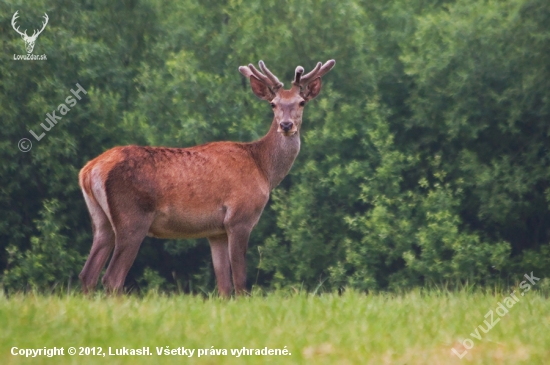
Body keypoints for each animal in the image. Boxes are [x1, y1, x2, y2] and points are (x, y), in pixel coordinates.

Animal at [77, 59, 336, 296]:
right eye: (273, 104)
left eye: (301, 102)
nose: (286, 125)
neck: (263, 169)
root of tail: (89, 170)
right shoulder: (239, 218)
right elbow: (240, 282)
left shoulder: (215, 231)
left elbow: (224, 286)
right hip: (132, 217)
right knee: (112, 278)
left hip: (101, 220)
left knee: (88, 274)